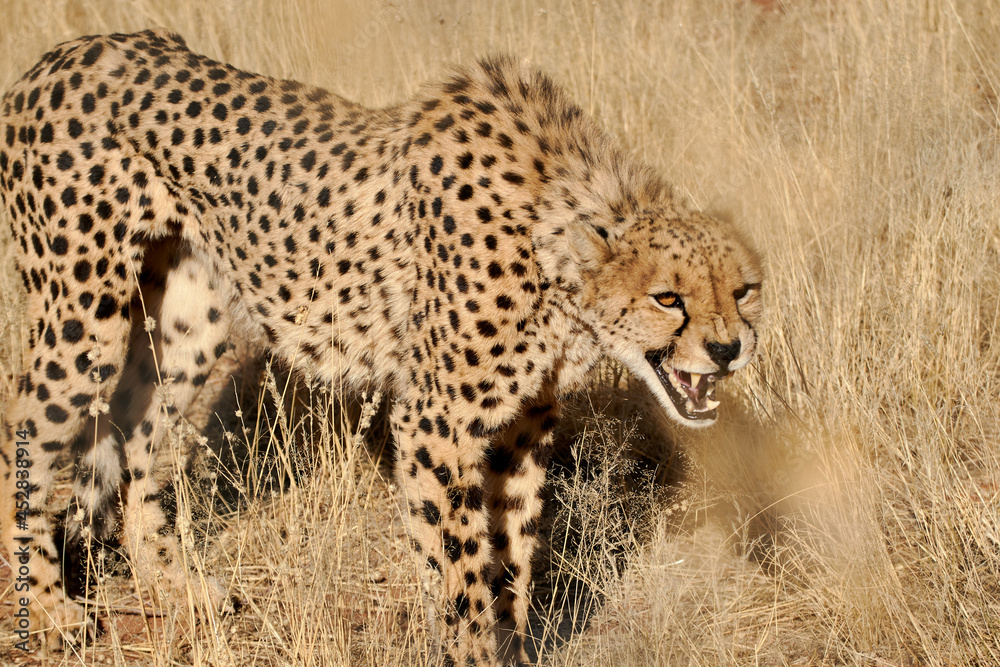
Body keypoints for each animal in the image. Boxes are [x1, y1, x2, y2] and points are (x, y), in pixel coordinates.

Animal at [0, 29, 763, 665]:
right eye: (669, 298)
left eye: (745, 290)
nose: (729, 350)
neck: (554, 256)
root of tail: (57, 58)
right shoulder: (435, 421)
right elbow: (461, 564)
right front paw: (473, 650)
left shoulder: (524, 425)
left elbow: (513, 548)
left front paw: (513, 640)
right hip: (83, 316)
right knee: (27, 429)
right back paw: (48, 607)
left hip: (192, 322)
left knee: (137, 437)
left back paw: (173, 586)